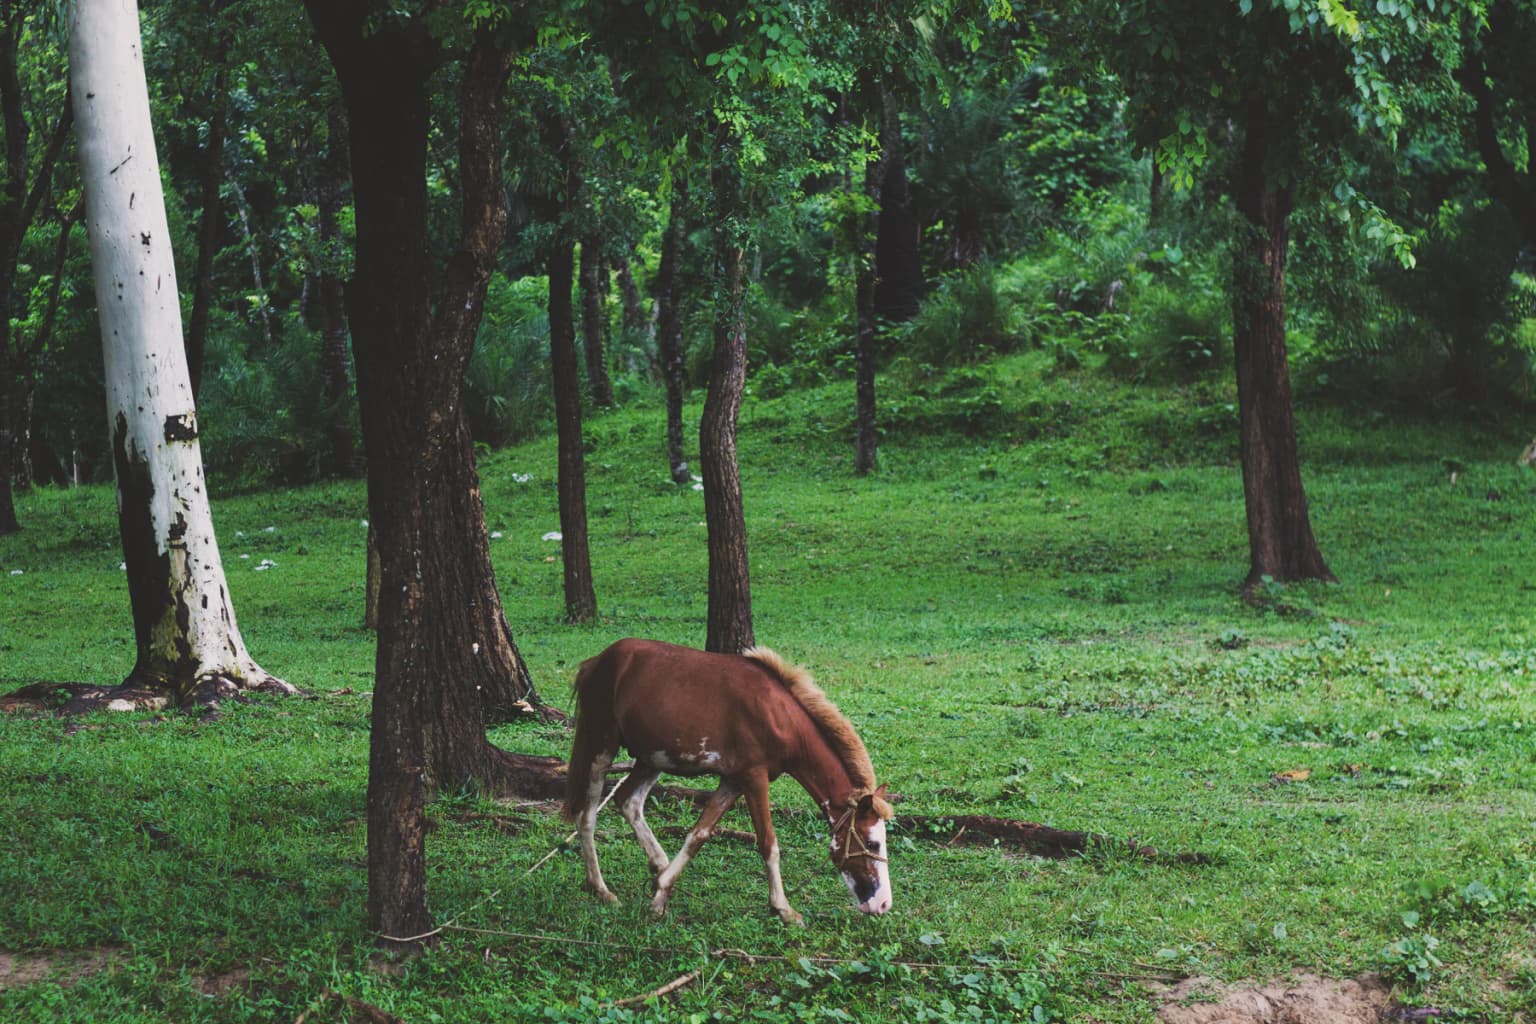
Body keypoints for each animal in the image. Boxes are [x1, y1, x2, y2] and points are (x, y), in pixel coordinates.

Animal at [562, 638, 894, 924]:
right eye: (872, 843)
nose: (883, 904)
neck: (778, 715)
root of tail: (596, 661)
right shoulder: (755, 778)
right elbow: (769, 843)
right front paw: (783, 908)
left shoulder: (733, 781)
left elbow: (698, 834)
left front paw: (661, 893)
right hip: (600, 747)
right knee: (587, 815)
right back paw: (600, 888)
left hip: (651, 758)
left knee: (628, 801)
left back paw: (658, 864)